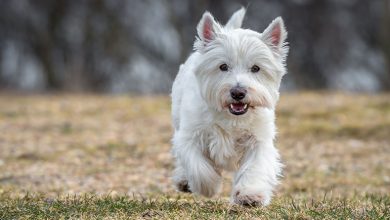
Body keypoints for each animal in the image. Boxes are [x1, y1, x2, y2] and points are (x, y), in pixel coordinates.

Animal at [171, 7, 286, 206]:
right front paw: (208, 187)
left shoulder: (258, 141)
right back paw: (184, 181)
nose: (238, 92)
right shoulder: (190, 136)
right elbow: (198, 166)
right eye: (223, 66)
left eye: (256, 68)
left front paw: (250, 194)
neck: (230, 117)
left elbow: (254, 168)